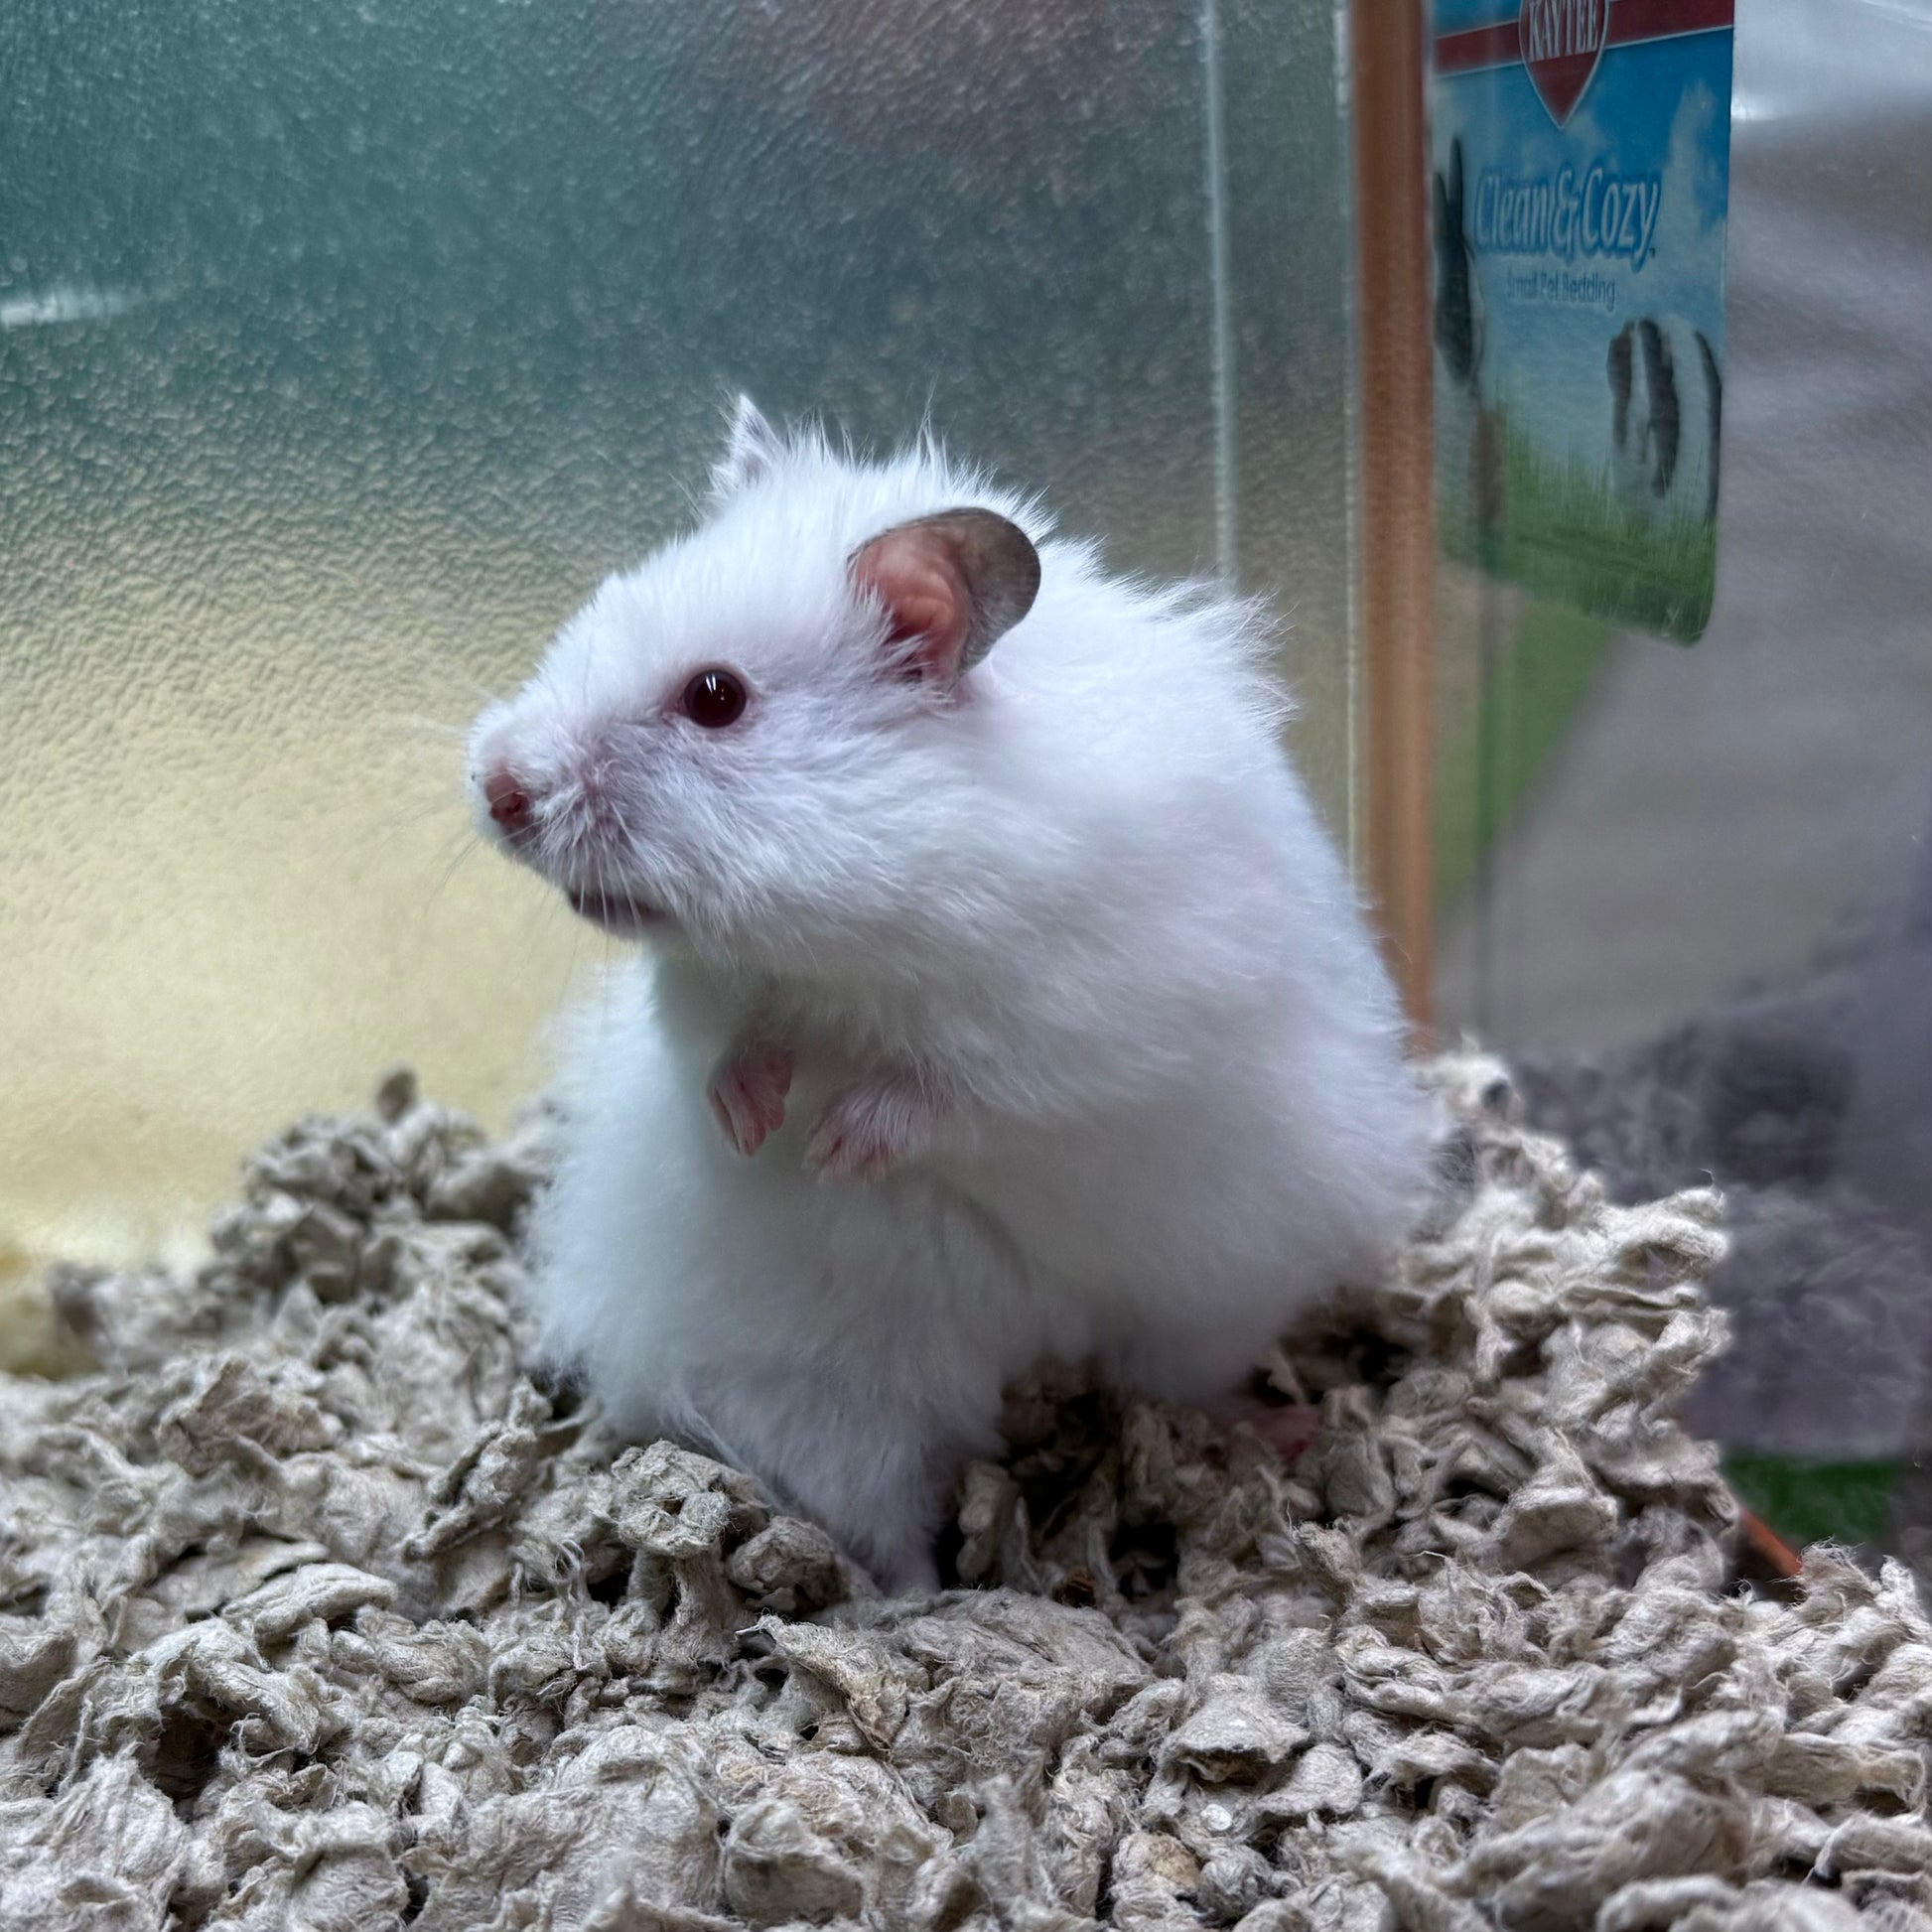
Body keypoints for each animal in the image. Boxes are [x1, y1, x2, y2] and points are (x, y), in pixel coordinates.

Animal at [468, 398, 1431, 1590]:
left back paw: (1277, 1428)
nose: (496, 787)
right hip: (831, 1399)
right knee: (882, 1519)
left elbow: (963, 1089)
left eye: (714, 697)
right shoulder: (703, 990)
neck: (866, 931)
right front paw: (755, 1126)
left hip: (1214, 1288)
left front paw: (838, 1144)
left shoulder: (1093, 1013)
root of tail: (1043, 1348)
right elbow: (730, 1041)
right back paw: (919, 1605)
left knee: (1178, 1381)